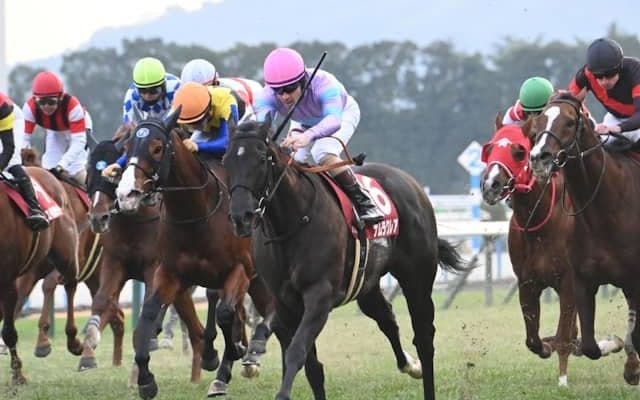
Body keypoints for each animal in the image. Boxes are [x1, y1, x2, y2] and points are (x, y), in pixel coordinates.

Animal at [0, 166, 79, 386]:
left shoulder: (7, 281)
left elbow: (8, 331)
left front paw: (18, 376)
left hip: (65, 253)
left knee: (70, 284)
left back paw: (73, 341)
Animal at [114, 111, 276, 399]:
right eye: (127, 147)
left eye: (157, 148)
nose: (126, 194)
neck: (195, 214)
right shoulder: (170, 273)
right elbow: (148, 315)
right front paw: (145, 380)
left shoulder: (239, 271)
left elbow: (226, 314)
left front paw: (227, 357)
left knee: (263, 309)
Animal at [224, 117, 466, 400]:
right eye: (227, 160)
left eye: (262, 159)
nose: (241, 217)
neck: (292, 224)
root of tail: (410, 182)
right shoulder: (284, 304)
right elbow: (311, 366)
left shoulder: (319, 296)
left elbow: (297, 352)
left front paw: (282, 394)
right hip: (367, 283)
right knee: (385, 317)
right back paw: (409, 364)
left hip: (417, 276)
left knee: (424, 338)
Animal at [480, 116, 627, 386]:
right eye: (490, 148)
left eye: (518, 152)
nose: (490, 185)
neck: (539, 222)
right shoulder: (527, 282)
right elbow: (534, 340)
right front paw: (548, 346)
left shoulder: (569, 282)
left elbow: (564, 335)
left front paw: (563, 380)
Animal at [527, 92, 640, 384]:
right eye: (539, 121)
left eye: (569, 122)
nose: (539, 157)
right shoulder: (581, 280)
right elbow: (589, 346)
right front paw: (610, 345)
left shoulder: (634, 281)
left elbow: (634, 334)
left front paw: (632, 366)